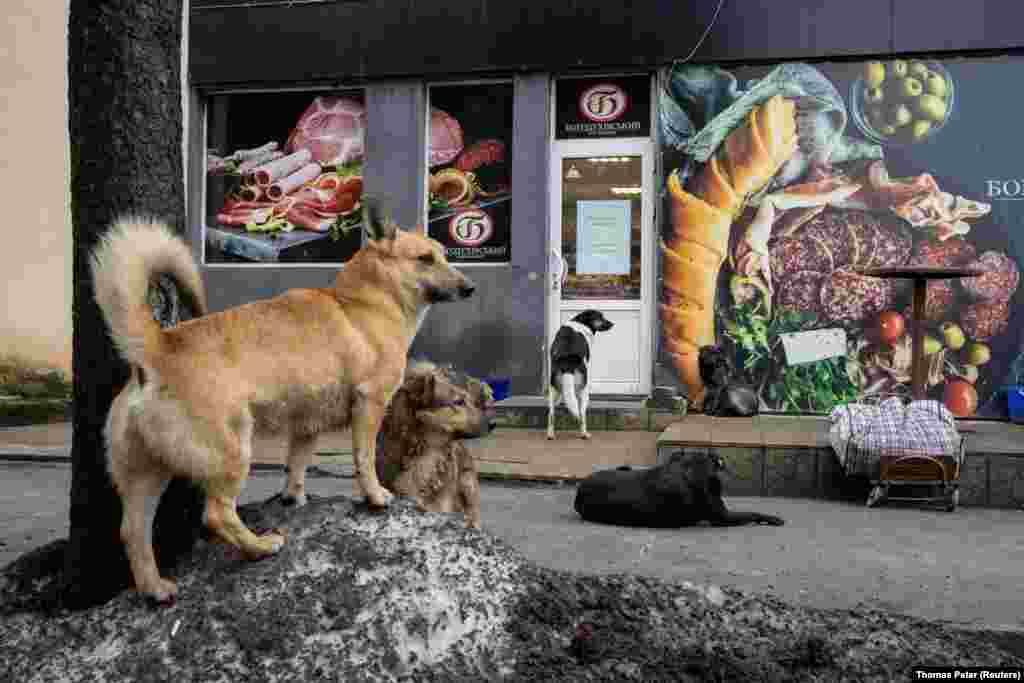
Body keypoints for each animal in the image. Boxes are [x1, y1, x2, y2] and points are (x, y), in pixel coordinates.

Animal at [90, 198, 473, 602]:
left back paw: (155, 589)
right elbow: (364, 460)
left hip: (147, 475)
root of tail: (157, 349)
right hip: (232, 453)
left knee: (133, 532)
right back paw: (260, 547)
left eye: (443, 255)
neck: (361, 303)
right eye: (425, 259)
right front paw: (375, 496)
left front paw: (293, 498)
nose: (470, 287)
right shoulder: (369, 406)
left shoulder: (306, 427)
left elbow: (297, 466)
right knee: (217, 515)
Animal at [548, 311, 610, 440]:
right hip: (584, 390)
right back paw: (584, 433)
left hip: (552, 389)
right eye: (600, 317)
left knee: (551, 414)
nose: (612, 324)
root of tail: (568, 361)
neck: (581, 322)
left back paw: (550, 434)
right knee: (582, 414)